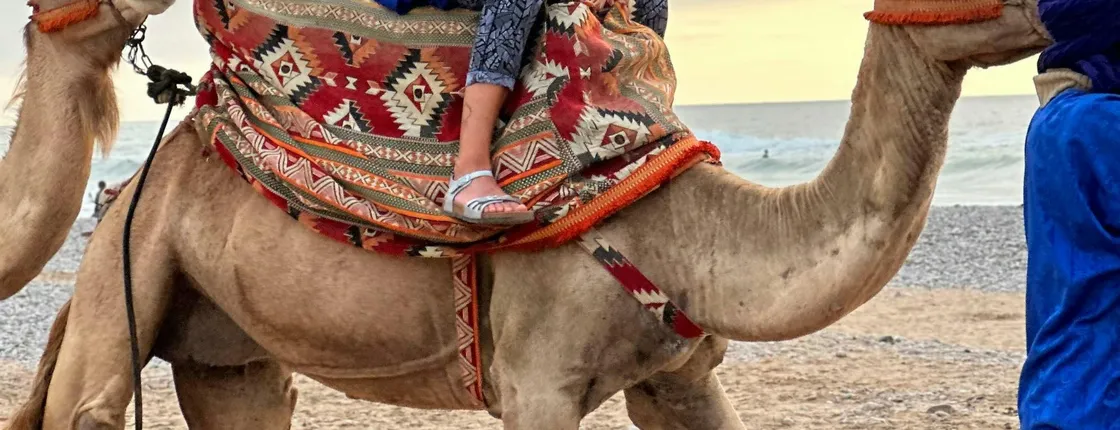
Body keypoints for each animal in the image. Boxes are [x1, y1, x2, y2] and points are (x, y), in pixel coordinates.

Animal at [4, 0, 1051, 427]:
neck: (677, 228)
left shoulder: (681, 372)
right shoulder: (538, 375)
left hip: (221, 339)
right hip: (127, 259)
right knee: (90, 405)